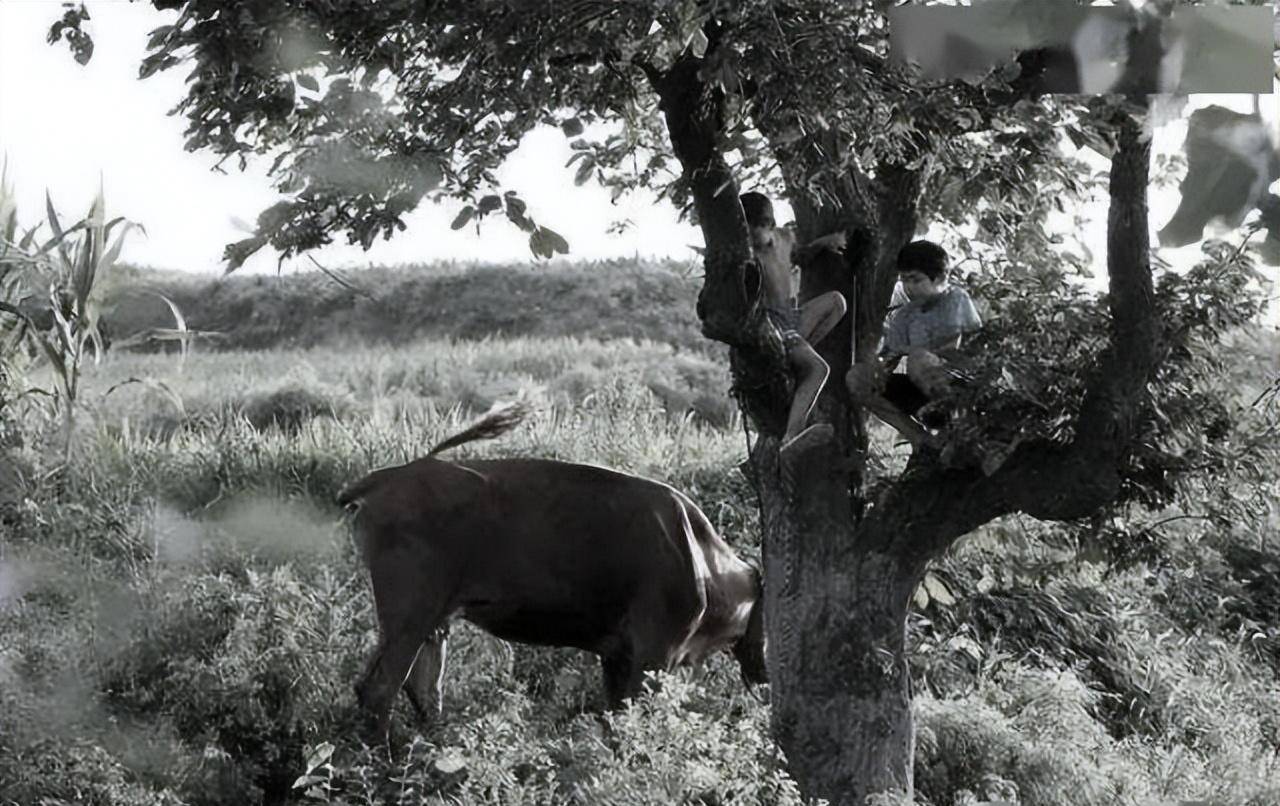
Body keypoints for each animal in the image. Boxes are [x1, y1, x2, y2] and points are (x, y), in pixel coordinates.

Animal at [335, 404, 762, 747]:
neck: (702, 560)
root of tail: (386, 478)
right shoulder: (652, 655)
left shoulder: (616, 657)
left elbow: (614, 718)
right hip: (411, 614)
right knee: (380, 688)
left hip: (432, 621)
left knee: (421, 688)